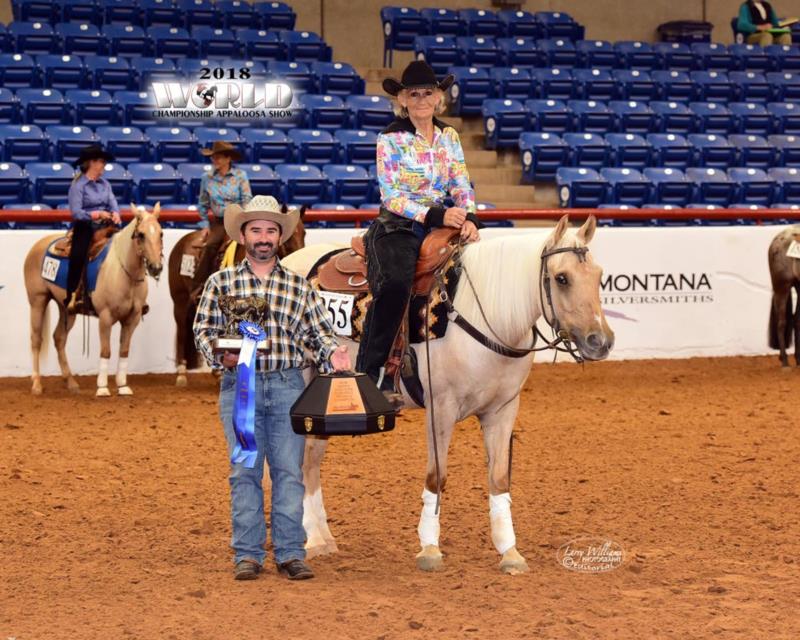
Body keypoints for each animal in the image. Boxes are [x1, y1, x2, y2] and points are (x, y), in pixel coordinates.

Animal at [23, 205, 164, 396]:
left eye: (161, 234)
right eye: (141, 234)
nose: (156, 267)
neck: (123, 272)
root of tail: (39, 243)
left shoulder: (132, 318)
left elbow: (124, 350)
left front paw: (122, 386)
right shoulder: (105, 317)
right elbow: (106, 351)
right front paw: (102, 388)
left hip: (66, 308)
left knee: (59, 338)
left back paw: (71, 383)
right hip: (37, 300)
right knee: (36, 339)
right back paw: (37, 384)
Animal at [284, 216, 616, 576]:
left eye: (599, 275)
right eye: (561, 278)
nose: (601, 341)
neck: (487, 314)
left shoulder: (503, 410)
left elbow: (499, 479)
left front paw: (510, 552)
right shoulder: (441, 408)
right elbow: (437, 477)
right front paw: (429, 549)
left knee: (310, 459)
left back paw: (322, 538)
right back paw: (313, 540)